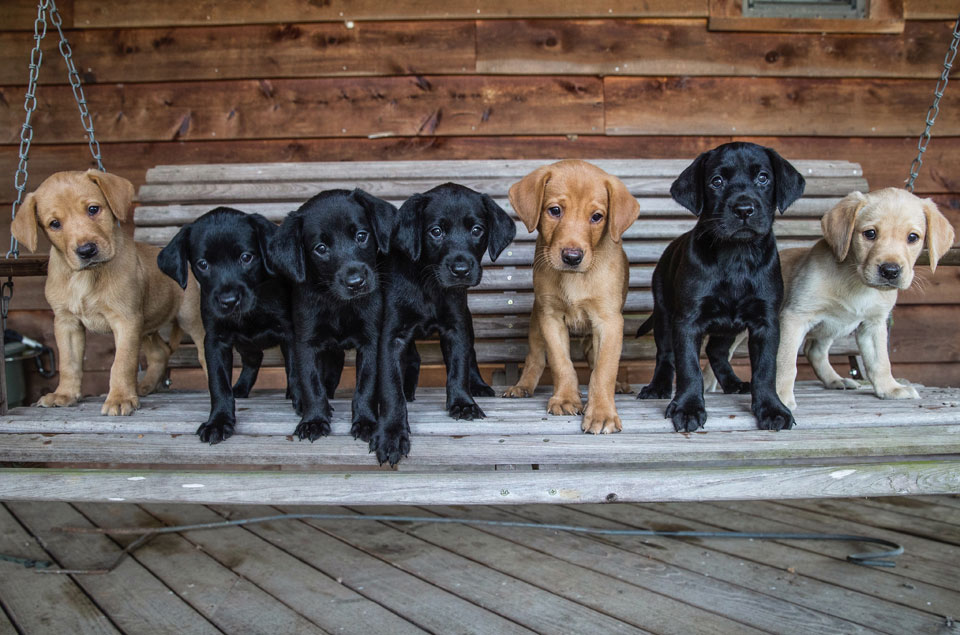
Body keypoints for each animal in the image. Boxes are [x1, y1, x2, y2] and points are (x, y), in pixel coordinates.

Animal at [157, 206, 308, 444]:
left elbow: (295, 369)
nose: (228, 301)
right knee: (253, 360)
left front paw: (303, 400)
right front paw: (218, 421)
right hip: (245, 343)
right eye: (203, 264)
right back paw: (241, 387)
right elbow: (219, 384)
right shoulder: (215, 341)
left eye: (246, 257)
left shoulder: (289, 331)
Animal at [266, 188, 394, 442]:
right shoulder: (306, 343)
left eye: (362, 236)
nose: (356, 282)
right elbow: (312, 385)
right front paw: (314, 420)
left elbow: (366, 385)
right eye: (321, 248)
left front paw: (366, 422)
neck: (338, 304)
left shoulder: (370, 341)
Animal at [372, 184, 516, 468]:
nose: (460, 270)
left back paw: (478, 385)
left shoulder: (456, 326)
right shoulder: (392, 335)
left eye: (477, 230)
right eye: (436, 231)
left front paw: (463, 402)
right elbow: (390, 387)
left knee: (470, 354)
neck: (429, 283)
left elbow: (458, 367)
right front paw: (392, 434)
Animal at [636, 143, 804, 432]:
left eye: (763, 178)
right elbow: (689, 367)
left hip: (728, 326)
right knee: (666, 355)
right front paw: (688, 408)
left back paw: (733, 383)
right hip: (664, 313)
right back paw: (658, 387)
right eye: (716, 181)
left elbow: (765, 369)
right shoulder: (687, 320)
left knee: (716, 352)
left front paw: (772, 408)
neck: (736, 256)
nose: (744, 209)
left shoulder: (766, 322)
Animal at [700, 186, 956, 410]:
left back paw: (835, 379)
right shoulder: (794, 318)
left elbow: (880, 361)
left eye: (913, 237)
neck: (856, 282)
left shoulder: (873, 324)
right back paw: (708, 385)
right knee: (718, 355)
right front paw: (780, 398)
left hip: (829, 327)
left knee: (814, 351)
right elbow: (785, 364)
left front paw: (889, 388)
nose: (891, 271)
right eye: (870, 234)